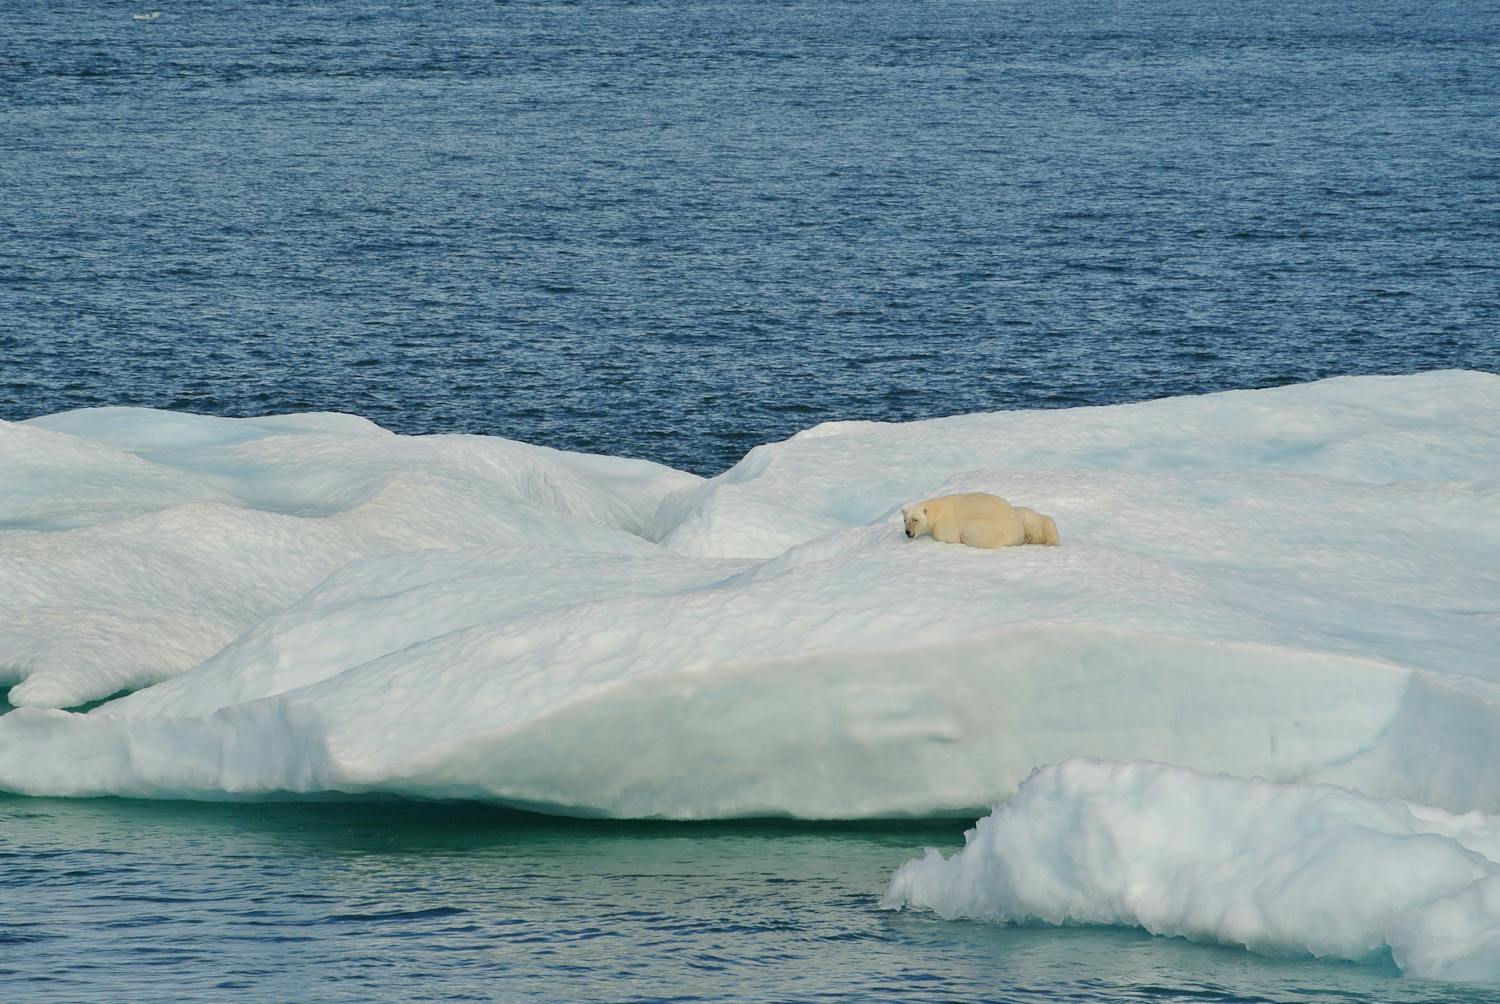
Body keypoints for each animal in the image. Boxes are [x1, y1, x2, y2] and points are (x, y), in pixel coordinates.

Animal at [894, 492, 1062, 549]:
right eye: (905, 519)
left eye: (915, 519)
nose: (907, 532)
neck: (938, 509)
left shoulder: (944, 524)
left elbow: (946, 536)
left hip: (989, 529)